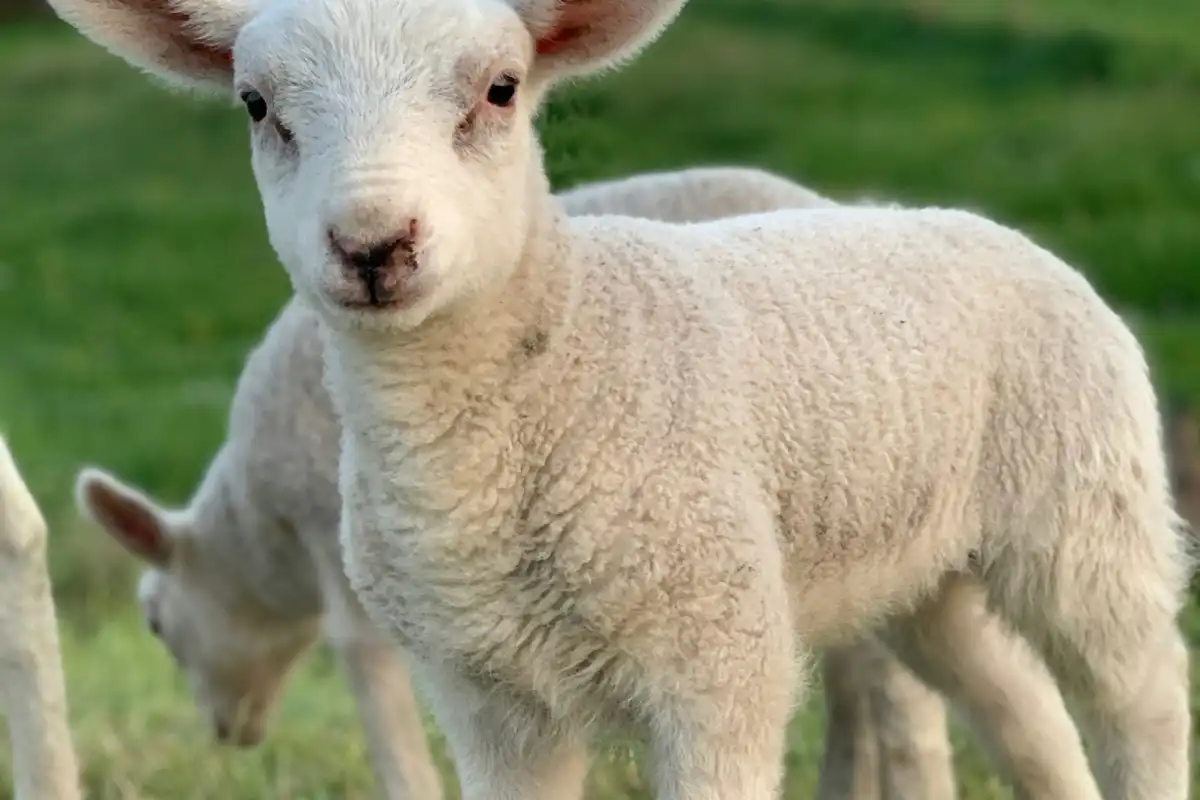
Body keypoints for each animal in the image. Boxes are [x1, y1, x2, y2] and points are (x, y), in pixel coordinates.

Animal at [45, 0, 1193, 797]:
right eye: (257, 105)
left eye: (502, 89)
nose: (374, 245)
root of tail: (972, 220)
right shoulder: (490, 694)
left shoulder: (716, 659)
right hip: (926, 571)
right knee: (1023, 710)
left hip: (1087, 514)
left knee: (1138, 695)